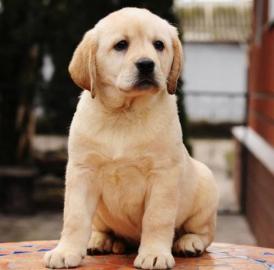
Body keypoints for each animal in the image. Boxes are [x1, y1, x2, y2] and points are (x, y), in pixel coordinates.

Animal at [44, 7, 218, 268]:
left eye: (158, 45)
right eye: (121, 45)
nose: (146, 65)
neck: (124, 115)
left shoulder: (163, 174)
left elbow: (156, 218)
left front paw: (155, 253)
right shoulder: (82, 171)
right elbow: (75, 217)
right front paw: (65, 251)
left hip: (205, 187)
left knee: (204, 233)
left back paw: (189, 243)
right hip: (100, 213)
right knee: (102, 228)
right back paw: (100, 240)